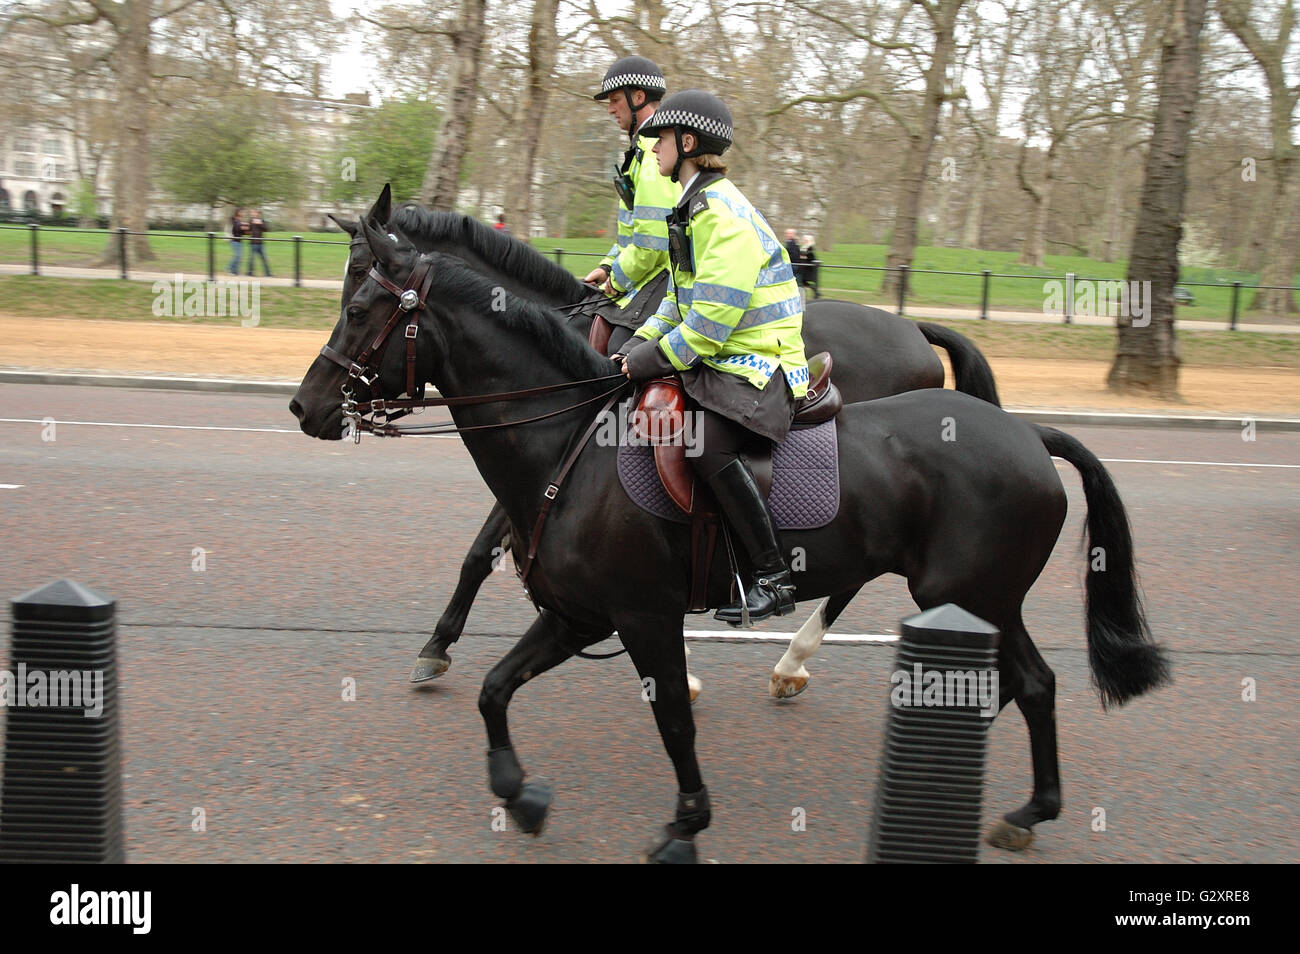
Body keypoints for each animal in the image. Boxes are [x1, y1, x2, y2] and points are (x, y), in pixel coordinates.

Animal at [329, 187, 1003, 696]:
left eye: (360, 279)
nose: (332, 394)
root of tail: (914, 330)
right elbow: (480, 554)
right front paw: (437, 644)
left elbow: (481, 551)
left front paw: (438, 644)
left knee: (849, 576)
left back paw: (793, 658)